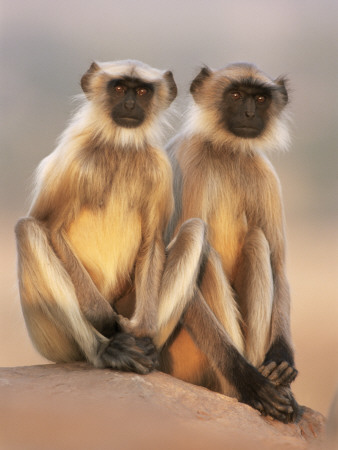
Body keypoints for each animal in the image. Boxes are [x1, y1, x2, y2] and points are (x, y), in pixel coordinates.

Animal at [15, 59, 206, 374]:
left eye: (141, 91)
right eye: (118, 88)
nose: (129, 104)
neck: (120, 147)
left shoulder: (159, 168)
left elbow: (152, 242)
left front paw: (142, 330)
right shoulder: (75, 160)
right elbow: (48, 227)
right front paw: (104, 319)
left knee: (194, 230)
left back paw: (146, 347)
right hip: (51, 341)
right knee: (27, 229)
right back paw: (107, 349)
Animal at [156, 62, 298, 422]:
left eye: (259, 98)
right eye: (235, 95)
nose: (249, 113)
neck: (228, 151)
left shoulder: (265, 174)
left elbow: (279, 267)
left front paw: (282, 361)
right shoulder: (188, 165)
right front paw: (252, 383)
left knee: (259, 244)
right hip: (182, 356)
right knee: (205, 253)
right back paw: (244, 391)